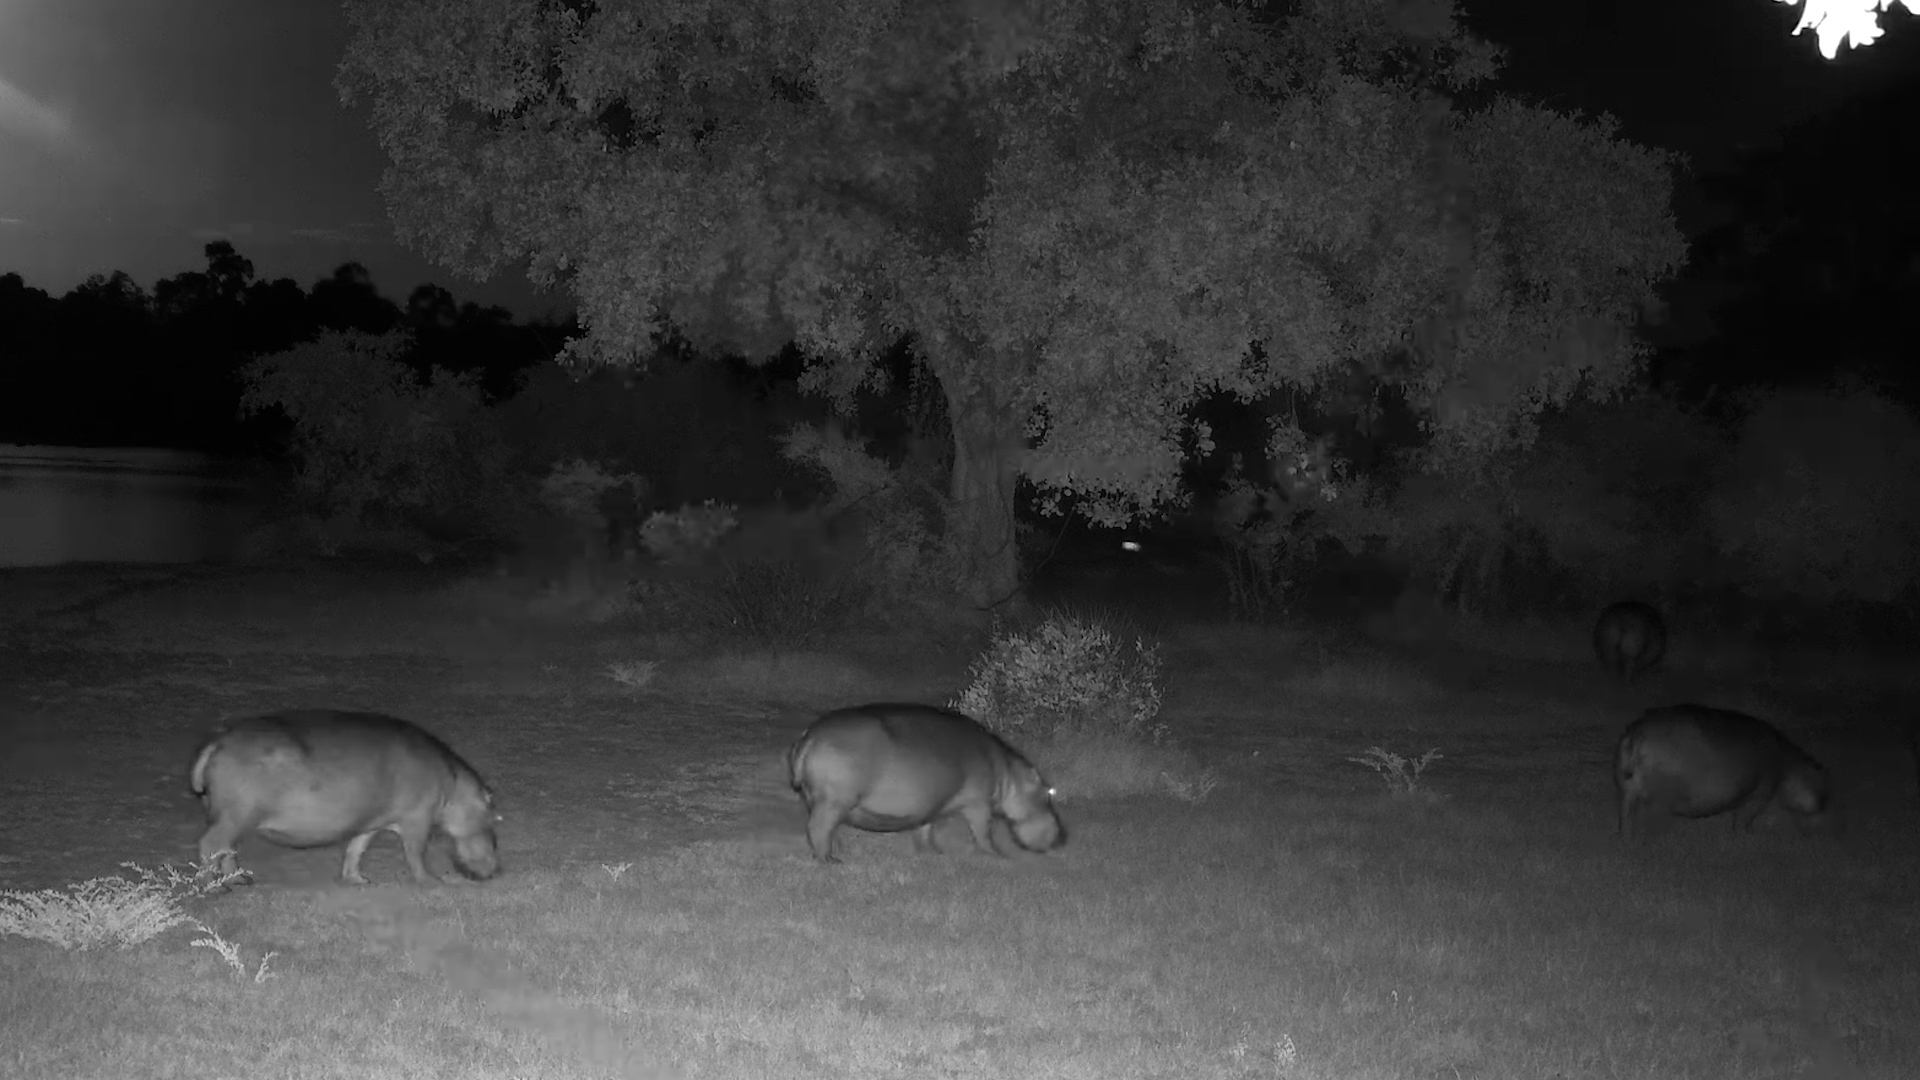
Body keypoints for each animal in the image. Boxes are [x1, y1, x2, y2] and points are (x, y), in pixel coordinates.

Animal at [188, 709, 500, 885]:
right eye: (493, 825)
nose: (496, 870)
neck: (455, 787)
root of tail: (218, 742)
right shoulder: (417, 819)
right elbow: (416, 853)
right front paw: (433, 881)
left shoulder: (371, 821)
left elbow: (356, 848)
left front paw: (358, 880)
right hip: (234, 816)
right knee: (211, 845)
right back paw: (212, 886)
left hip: (232, 818)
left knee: (227, 849)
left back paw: (241, 882)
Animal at [787, 703, 1066, 863]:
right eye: (1049, 794)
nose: (1063, 837)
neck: (1008, 776)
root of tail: (809, 736)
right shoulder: (979, 805)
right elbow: (983, 833)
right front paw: (1000, 857)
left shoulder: (931, 806)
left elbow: (925, 830)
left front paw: (933, 853)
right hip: (833, 800)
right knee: (818, 828)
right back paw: (830, 860)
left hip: (821, 799)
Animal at [1614, 704, 1831, 839]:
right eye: (1823, 789)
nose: (1823, 808)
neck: (1789, 763)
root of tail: (1637, 735)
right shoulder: (1760, 794)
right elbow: (1745, 818)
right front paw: (1748, 836)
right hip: (1660, 793)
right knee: (1648, 816)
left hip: (1627, 787)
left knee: (1626, 814)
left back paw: (1627, 838)